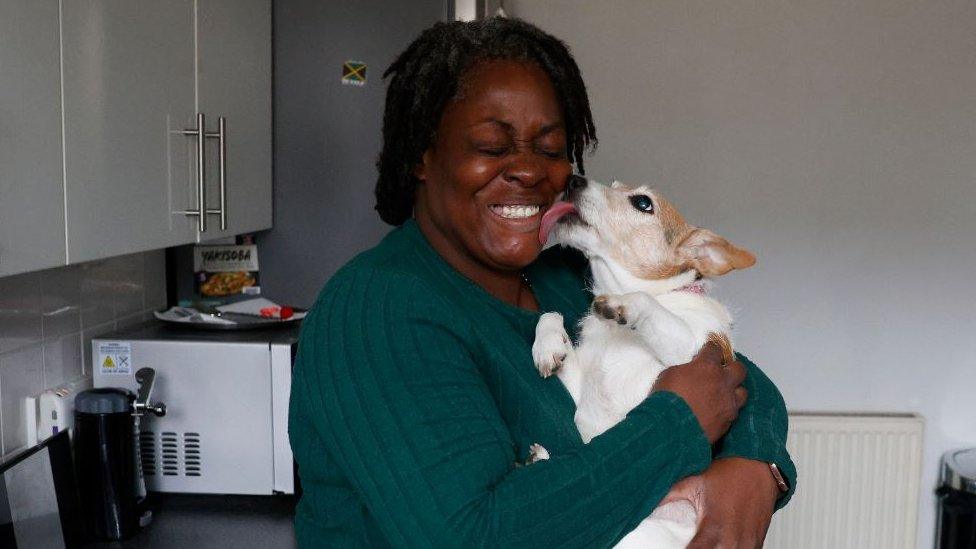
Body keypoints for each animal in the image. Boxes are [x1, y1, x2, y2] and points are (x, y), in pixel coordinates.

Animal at [528, 177, 760, 548]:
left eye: (642, 203)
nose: (573, 179)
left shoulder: (689, 350)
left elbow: (643, 303)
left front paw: (622, 303)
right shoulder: (580, 386)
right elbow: (550, 315)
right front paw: (547, 346)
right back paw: (539, 460)